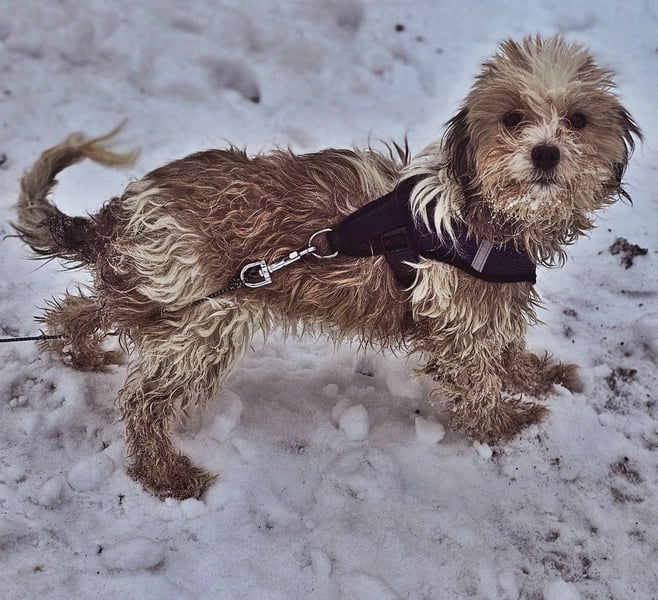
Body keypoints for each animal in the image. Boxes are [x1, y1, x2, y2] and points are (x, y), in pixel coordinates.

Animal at [13, 36, 640, 499]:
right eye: (513, 117)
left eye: (578, 120)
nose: (545, 153)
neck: (485, 212)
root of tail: (122, 215)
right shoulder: (459, 323)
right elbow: (476, 383)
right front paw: (510, 424)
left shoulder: (492, 309)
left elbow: (506, 350)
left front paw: (538, 376)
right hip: (205, 320)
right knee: (143, 399)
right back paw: (164, 472)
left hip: (162, 296)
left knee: (86, 307)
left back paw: (78, 351)